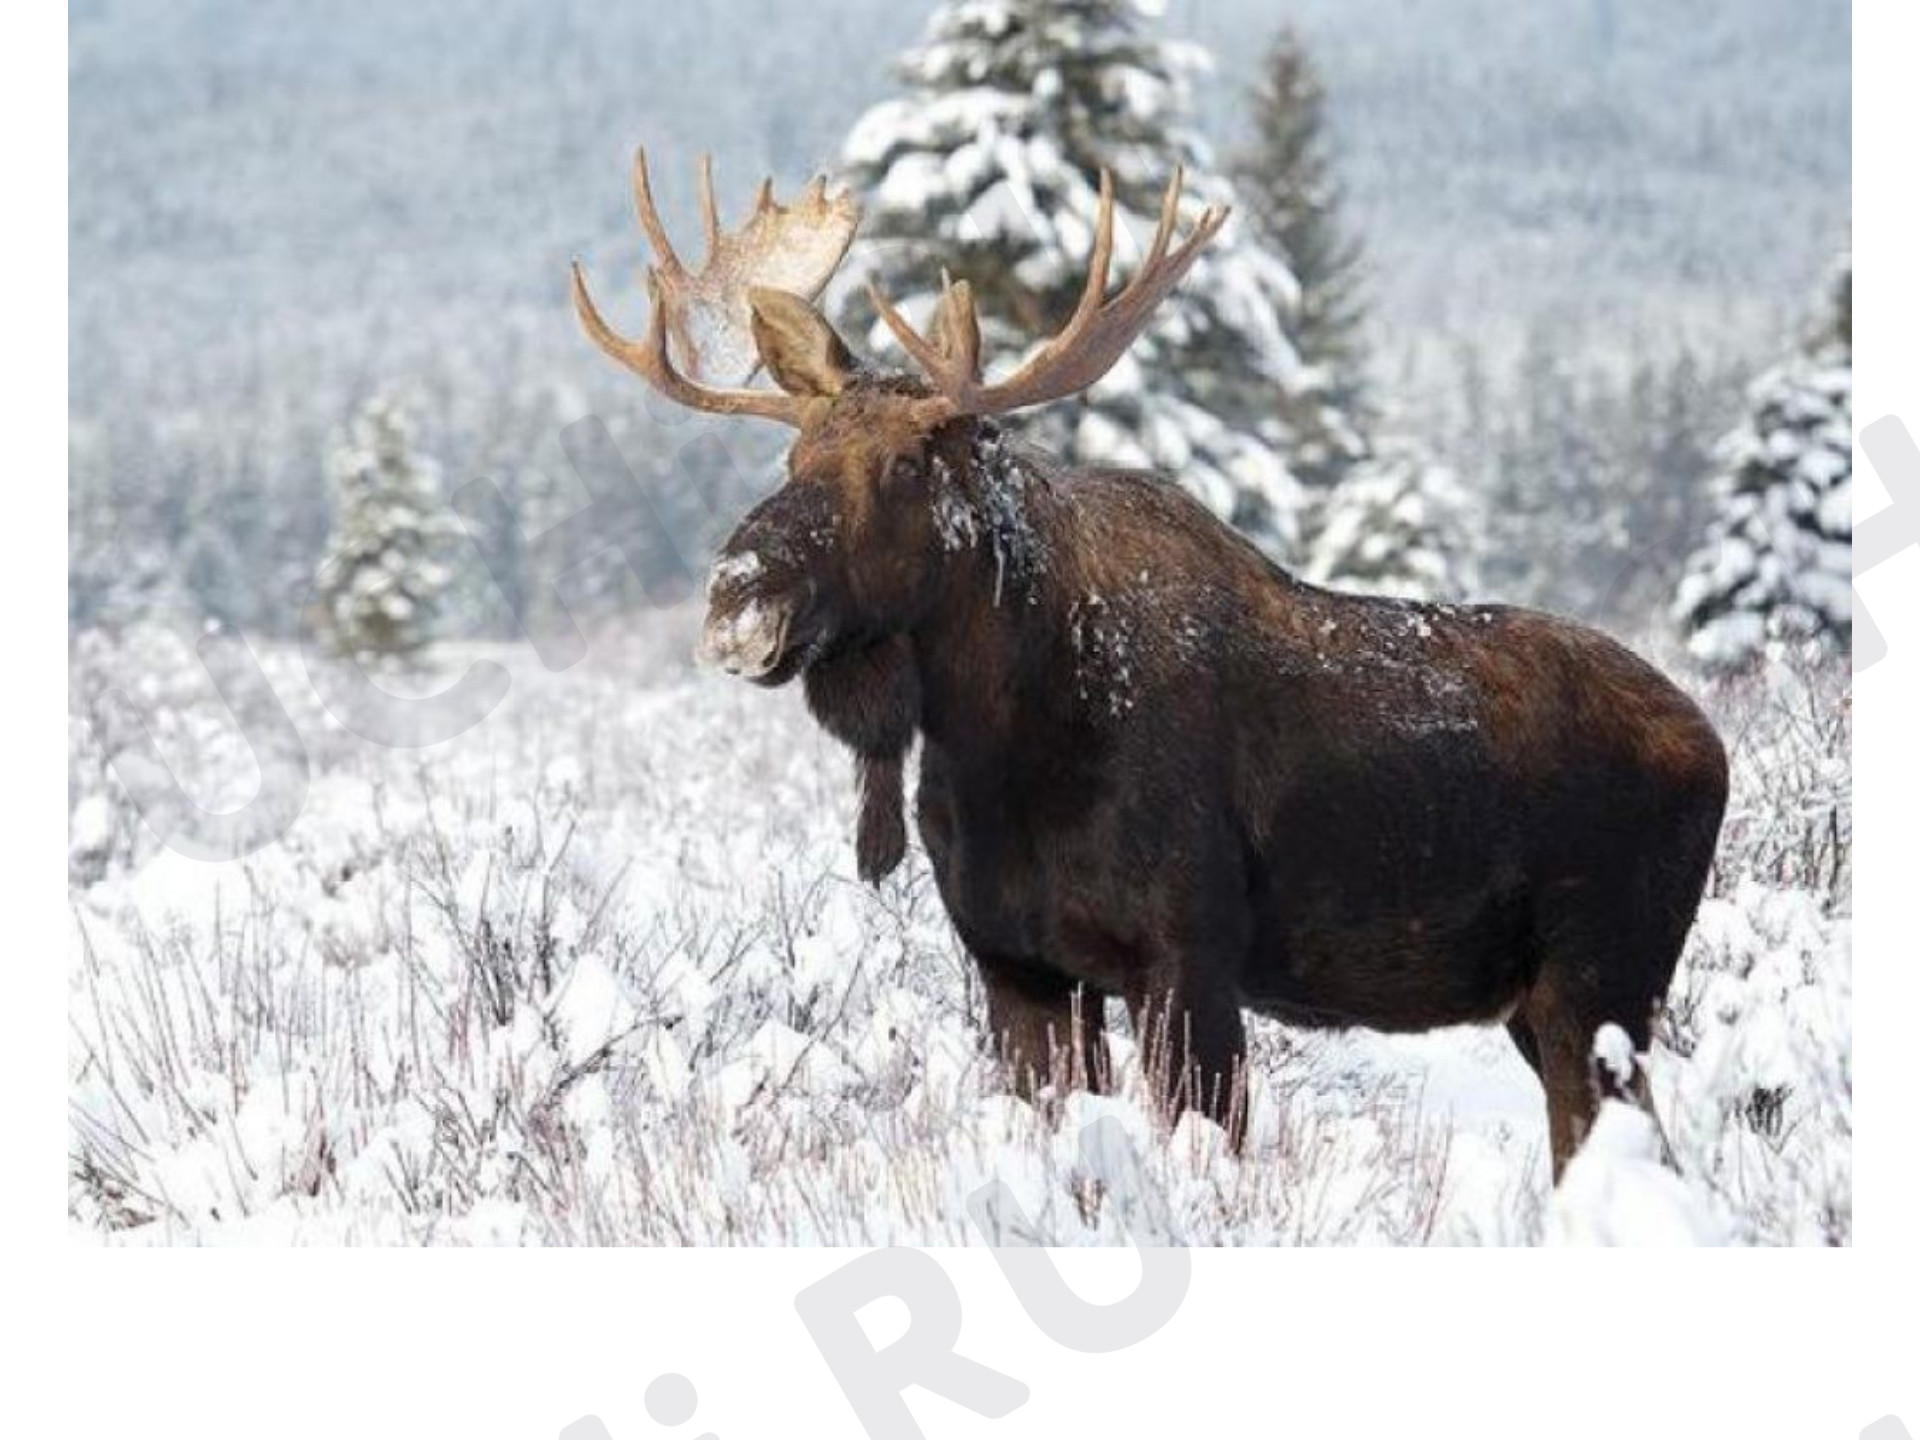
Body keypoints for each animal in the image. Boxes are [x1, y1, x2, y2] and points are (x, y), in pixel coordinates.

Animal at [571, 151, 1729, 1180]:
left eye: (901, 464)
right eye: (793, 456)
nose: (737, 594)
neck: (998, 748)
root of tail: (1716, 747)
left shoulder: (1188, 958)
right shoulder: (1021, 969)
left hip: (1602, 976)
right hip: (1549, 1001)